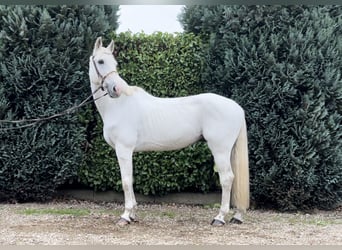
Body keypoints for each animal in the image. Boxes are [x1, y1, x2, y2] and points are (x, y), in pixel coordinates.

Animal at [88, 37, 248, 227]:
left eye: (114, 63)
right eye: (101, 61)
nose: (116, 89)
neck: (119, 106)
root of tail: (236, 106)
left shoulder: (124, 149)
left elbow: (126, 181)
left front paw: (125, 216)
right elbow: (131, 179)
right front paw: (133, 214)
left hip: (220, 150)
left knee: (227, 178)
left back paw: (219, 218)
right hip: (229, 150)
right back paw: (237, 216)